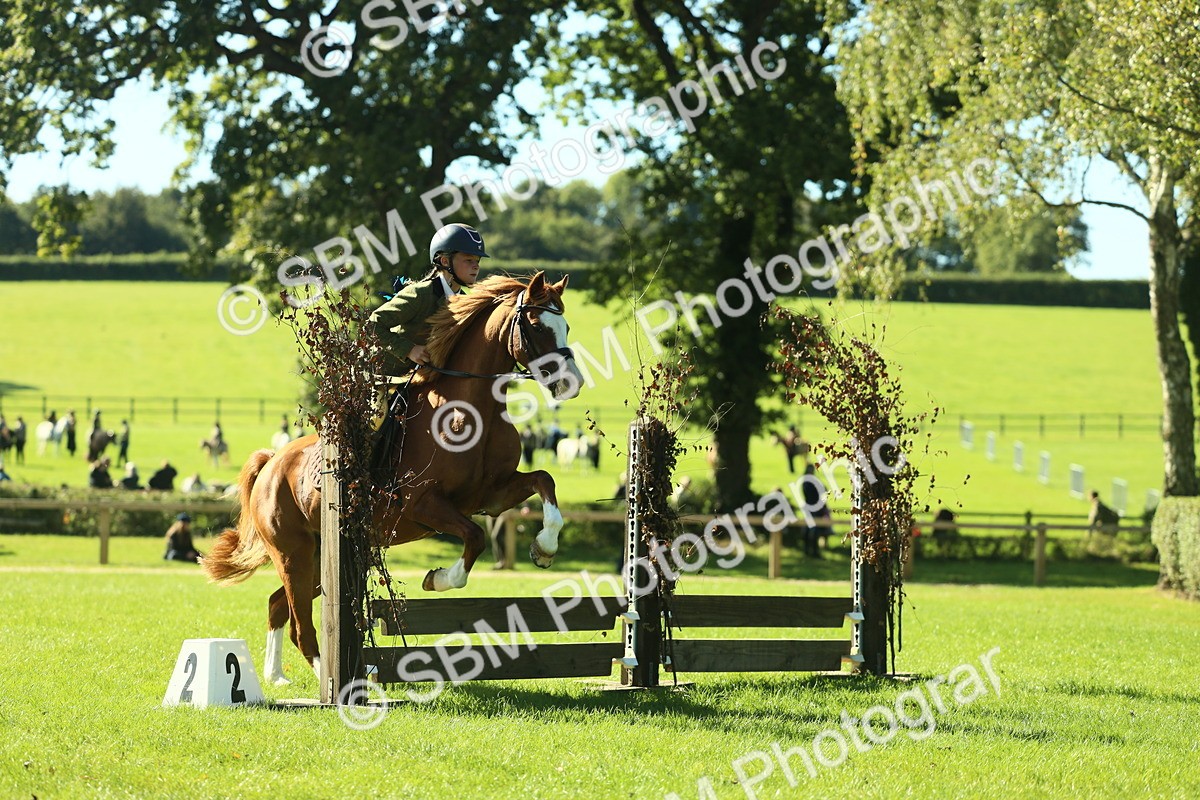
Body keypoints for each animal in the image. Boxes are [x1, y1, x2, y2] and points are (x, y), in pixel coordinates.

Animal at [201, 272, 583, 685]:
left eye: (566, 325)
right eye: (536, 326)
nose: (571, 384)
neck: (471, 409)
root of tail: (272, 462)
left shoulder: (492, 494)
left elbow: (544, 481)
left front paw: (544, 549)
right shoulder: (423, 504)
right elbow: (475, 537)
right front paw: (438, 579)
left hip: (324, 558)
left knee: (277, 605)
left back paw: (278, 676)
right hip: (294, 554)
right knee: (301, 627)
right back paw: (340, 679)